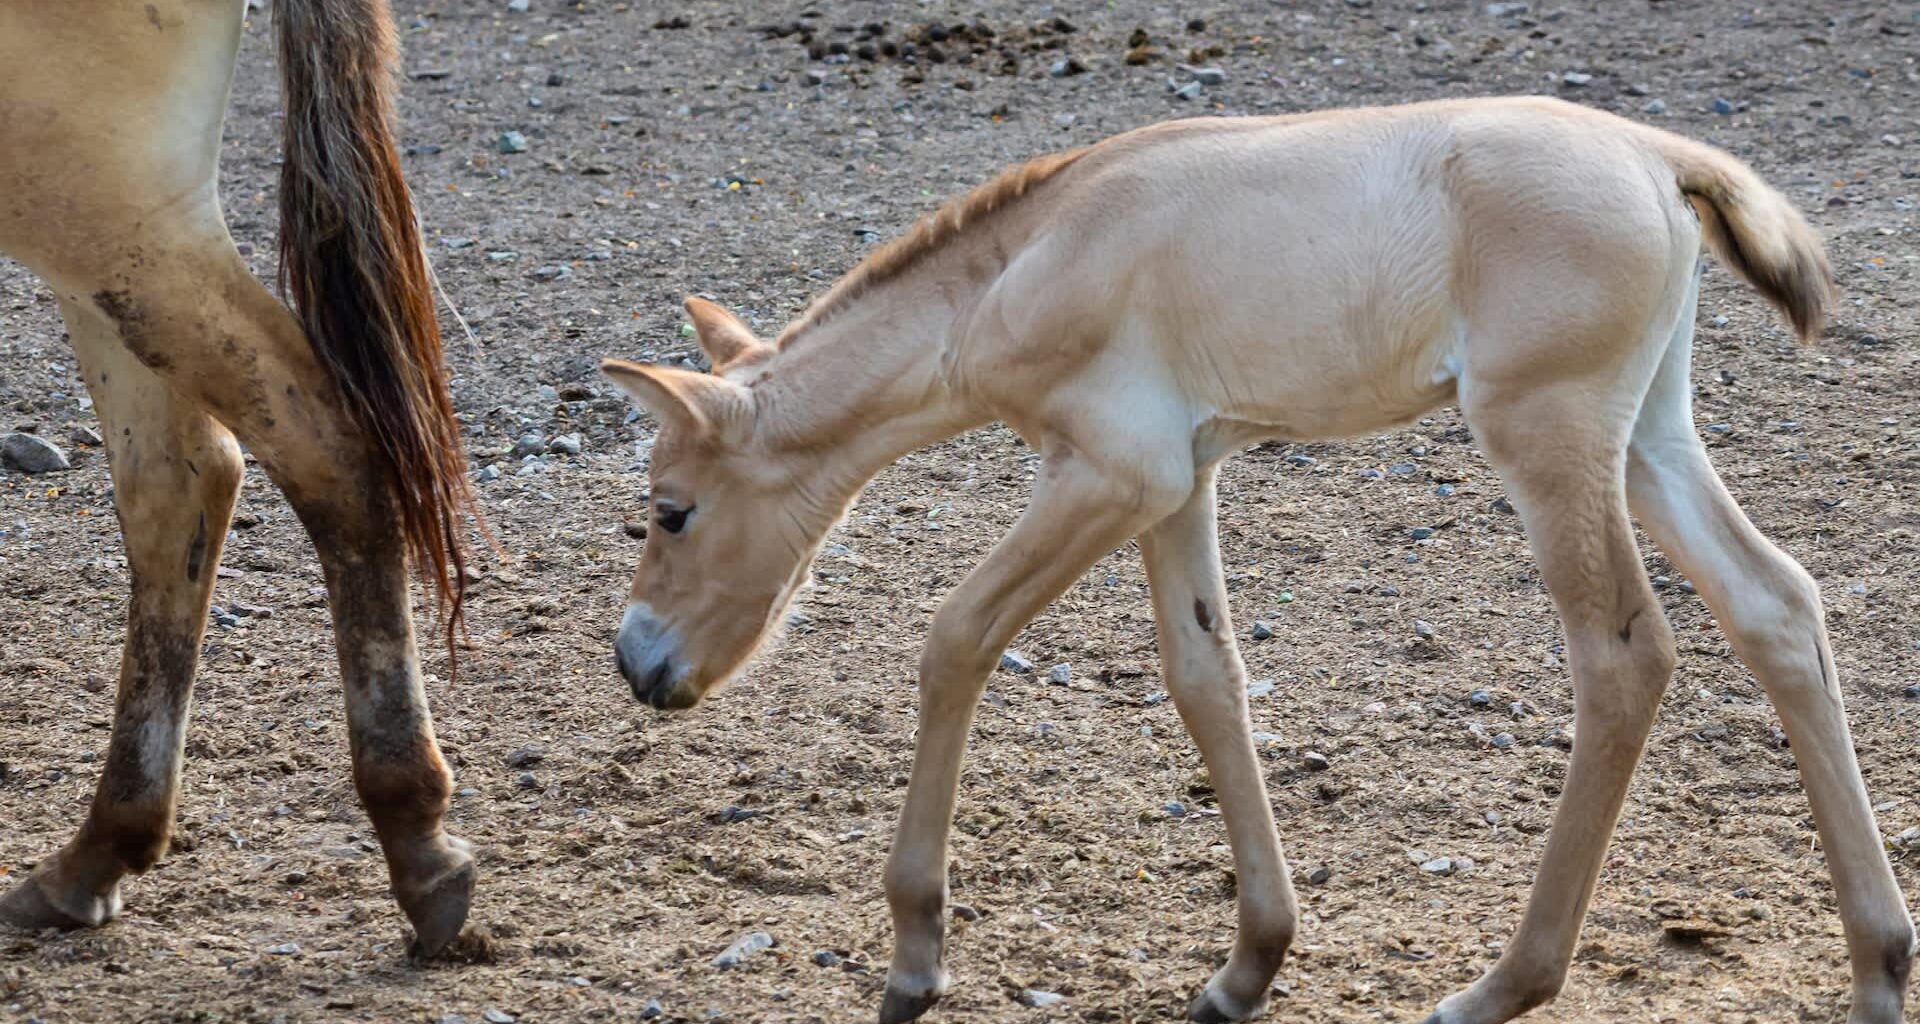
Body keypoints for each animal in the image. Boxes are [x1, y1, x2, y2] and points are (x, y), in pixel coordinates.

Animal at [0, 0, 479, 955]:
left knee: (328, 450)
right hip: (107, 236)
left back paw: (418, 839)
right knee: (179, 483)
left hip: (103, 205)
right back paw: (97, 854)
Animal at [598, 97, 1916, 1023]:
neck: (1029, 261)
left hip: (1548, 431)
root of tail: (1654, 155)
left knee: (1623, 658)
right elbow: (1206, 678)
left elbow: (956, 636)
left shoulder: (1111, 472)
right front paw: (1249, 963)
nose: (635, 663)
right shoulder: (1180, 479)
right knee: (1777, 607)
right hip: (1647, 433)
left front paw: (918, 955)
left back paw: (1503, 984)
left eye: (670, 511)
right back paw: (1880, 964)